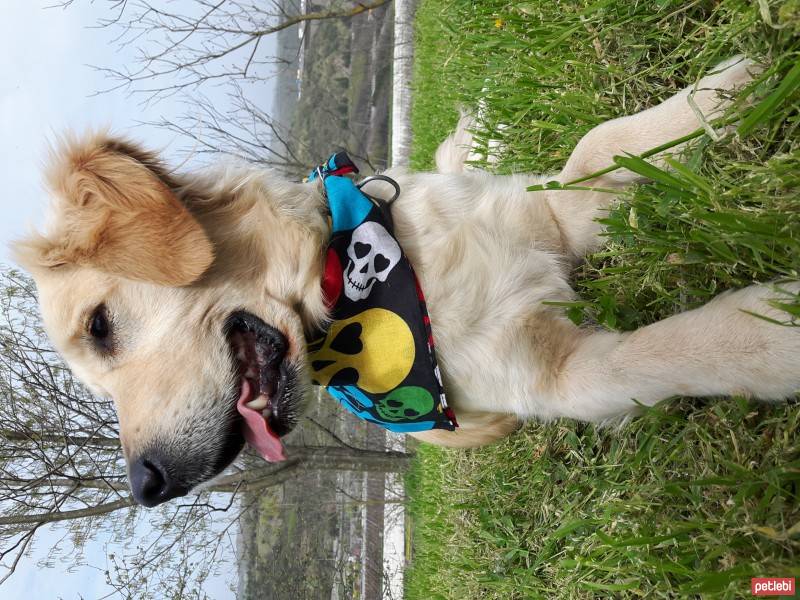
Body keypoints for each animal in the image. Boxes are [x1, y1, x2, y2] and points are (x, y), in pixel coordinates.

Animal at [14, 56, 800, 506]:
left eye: (99, 327)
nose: (146, 486)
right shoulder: (562, 377)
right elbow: (669, 351)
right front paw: (776, 334)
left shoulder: (549, 211)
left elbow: (602, 143)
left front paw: (727, 91)